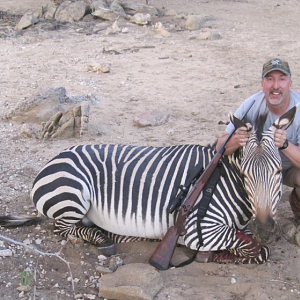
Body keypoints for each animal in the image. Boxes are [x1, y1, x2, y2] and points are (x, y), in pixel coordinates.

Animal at [0, 105, 296, 264]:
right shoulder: (202, 229)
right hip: (72, 197)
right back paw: (104, 239)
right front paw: (217, 255)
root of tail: (55, 157)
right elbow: (258, 248)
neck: (223, 180)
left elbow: (255, 245)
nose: (265, 228)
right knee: (62, 229)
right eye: (245, 175)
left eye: (278, 172)